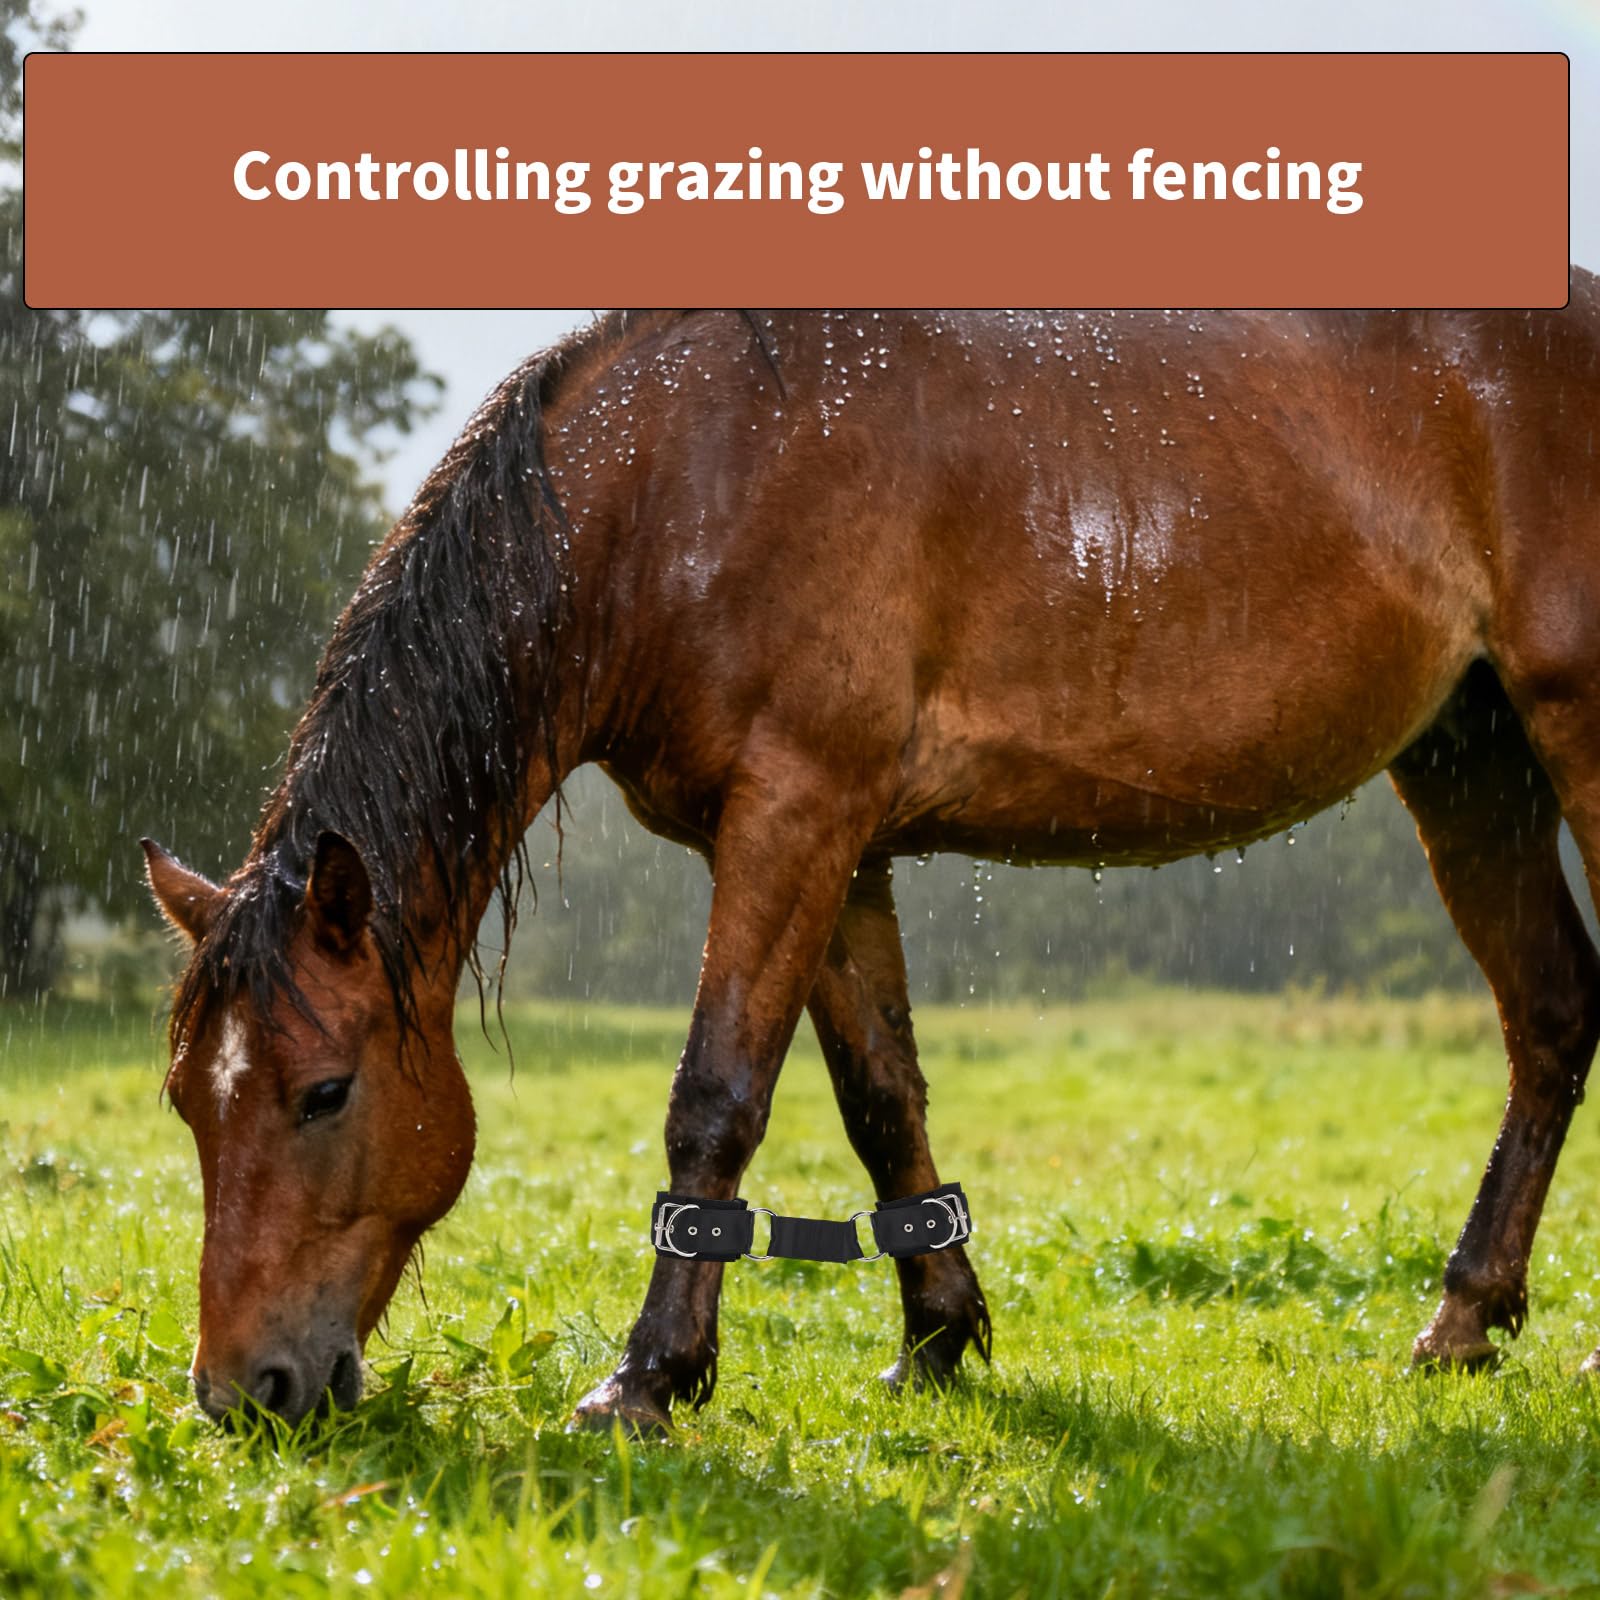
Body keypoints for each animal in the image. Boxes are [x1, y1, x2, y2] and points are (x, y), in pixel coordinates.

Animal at [144, 284, 1600, 1432]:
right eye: (187, 1102)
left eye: (325, 1093)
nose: (242, 1394)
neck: (682, 483)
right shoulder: (841, 852)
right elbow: (881, 1097)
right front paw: (938, 1337)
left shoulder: (793, 816)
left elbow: (716, 1097)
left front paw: (648, 1378)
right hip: (1467, 765)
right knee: (1549, 1015)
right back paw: (1462, 1322)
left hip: (1570, 733)